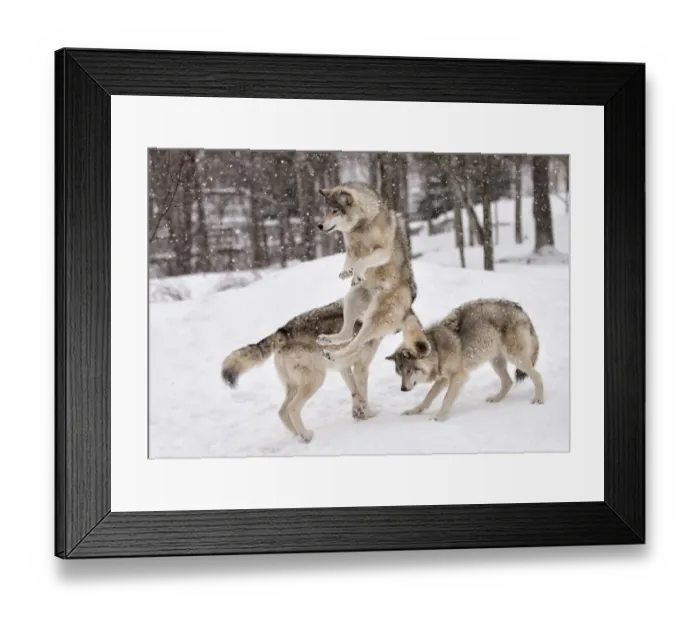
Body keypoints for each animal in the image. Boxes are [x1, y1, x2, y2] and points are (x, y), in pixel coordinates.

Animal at [221, 299, 381, 444]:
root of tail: (283, 331)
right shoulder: (361, 367)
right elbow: (362, 395)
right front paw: (370, 414)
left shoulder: (343, 366)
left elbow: (355, 393)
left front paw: (358, 414)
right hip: (316, 380)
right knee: (292, 408)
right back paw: (306, 435)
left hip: (294, 386)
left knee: (282, 411)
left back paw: (299, 436)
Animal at [315, 182, 426, 363]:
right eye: (325, 211)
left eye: (335, 211)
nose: (319, 225)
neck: (361, 227)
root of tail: (408, 310)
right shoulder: (351, 250)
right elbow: (350, 261)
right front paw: (346, 272)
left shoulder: (382, 252)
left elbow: (362, 262)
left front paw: (356, 274)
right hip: (350, 299)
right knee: (347, 334)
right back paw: (327, 339)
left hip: (372, 321)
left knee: (354, 345)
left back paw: (332, 355)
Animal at [386, 299, 544, 422]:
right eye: (399, 372)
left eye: (409, 371)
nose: (403, 389)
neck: (436, 349)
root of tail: (519, 308)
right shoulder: (443, 378)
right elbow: (428, 397)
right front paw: (414, 411)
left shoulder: (458, 376)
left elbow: (446, 398)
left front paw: (439, 417)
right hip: (496, 362)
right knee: (508, 382)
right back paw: (496, 398)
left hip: (516, 359)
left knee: (537, 375)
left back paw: (538, 399)